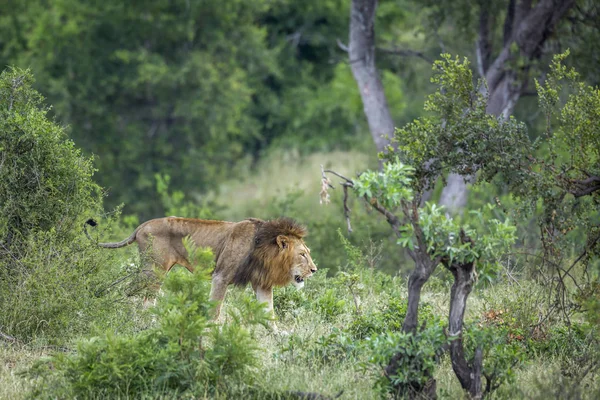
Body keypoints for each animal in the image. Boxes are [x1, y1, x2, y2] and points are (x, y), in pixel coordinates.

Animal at [86, 216, 318, 322]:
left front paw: (279, 337)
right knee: (131, 293)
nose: (314, 270)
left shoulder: (262, 284)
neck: (264, 250)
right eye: (302, 254)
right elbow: (214, 310)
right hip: (153, 270)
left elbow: (270, 315)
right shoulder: (221, 277)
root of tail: (141, 226)